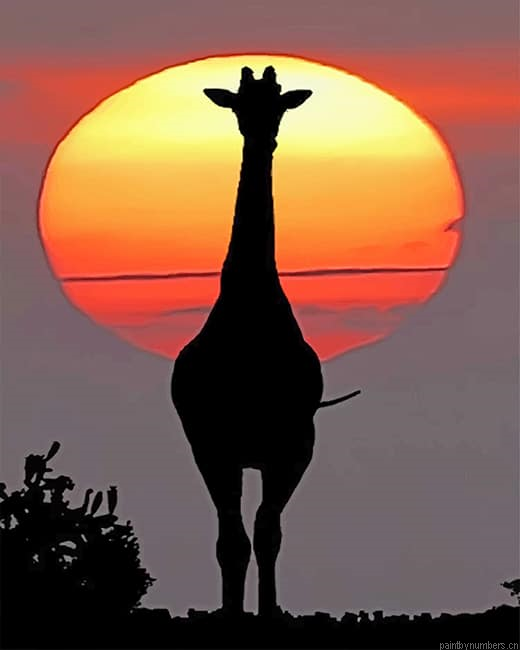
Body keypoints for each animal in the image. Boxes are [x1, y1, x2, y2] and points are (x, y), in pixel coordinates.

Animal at [171, 66, 359, 617]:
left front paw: (271, 609)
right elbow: (231, 540)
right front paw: (233, 611)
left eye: (278, 104)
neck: (249, 309)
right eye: (238, 105)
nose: (263, 138)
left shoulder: (293, 445)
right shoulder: (212, 445)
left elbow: (267, 532)